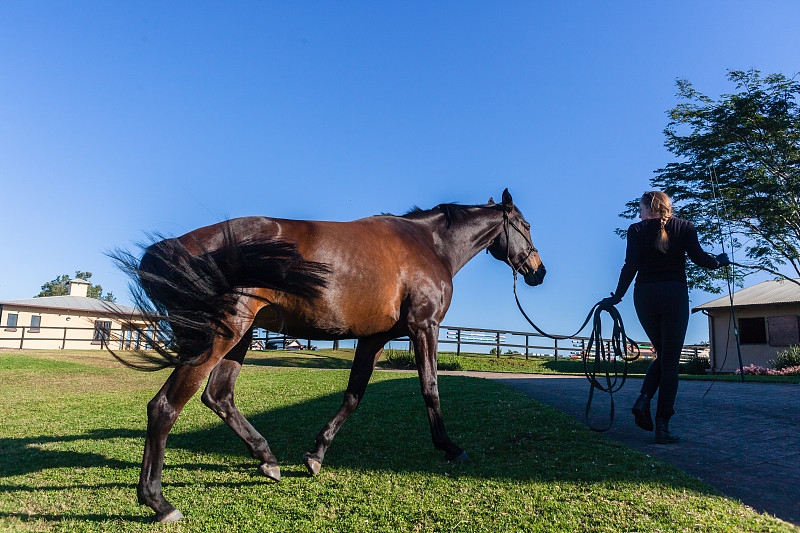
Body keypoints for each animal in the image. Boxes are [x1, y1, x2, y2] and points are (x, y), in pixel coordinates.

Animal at [112, 189, 548, 520]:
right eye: (526, 226)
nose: (538, 271)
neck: (430, 246)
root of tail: (177, 247)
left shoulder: (373, 339)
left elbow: (353, 395)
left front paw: (316, 454)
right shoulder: (424, 328)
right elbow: (430, 389)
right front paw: (450, 447)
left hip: (240, 337)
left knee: (218, 397)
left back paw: (267, 459)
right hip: (223, 334)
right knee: (165, 406)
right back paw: (159, 502)